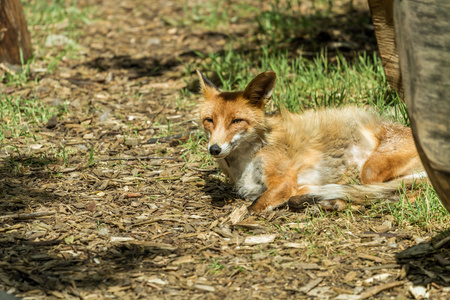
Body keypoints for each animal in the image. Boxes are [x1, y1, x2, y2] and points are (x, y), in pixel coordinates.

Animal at [197, 69, 426, 211]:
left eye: (236, 121)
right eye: (209, 120)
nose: (214, 149)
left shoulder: (283, 182)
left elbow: (253, 208)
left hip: (370, 171)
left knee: (396, 195)